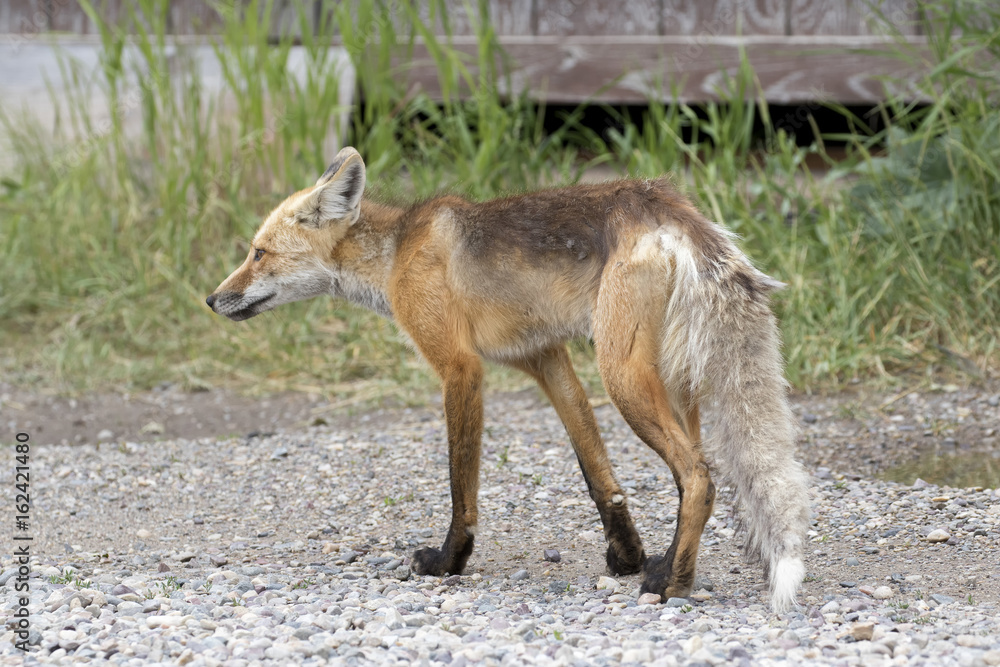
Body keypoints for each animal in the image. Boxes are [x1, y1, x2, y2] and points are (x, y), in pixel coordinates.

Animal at [207, 146, 811, 612]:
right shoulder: (547, 358)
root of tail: (666, 202)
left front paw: (448, 561)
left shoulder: (459, 367)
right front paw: (626, 555)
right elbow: (598, 473)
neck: (398, 253)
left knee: (699, 477)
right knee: (693, 476)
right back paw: (665, 564)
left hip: (622, 374)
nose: (213, 300)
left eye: (258, 253)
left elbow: (461, 485)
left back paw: (672, 584)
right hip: (675, 380)